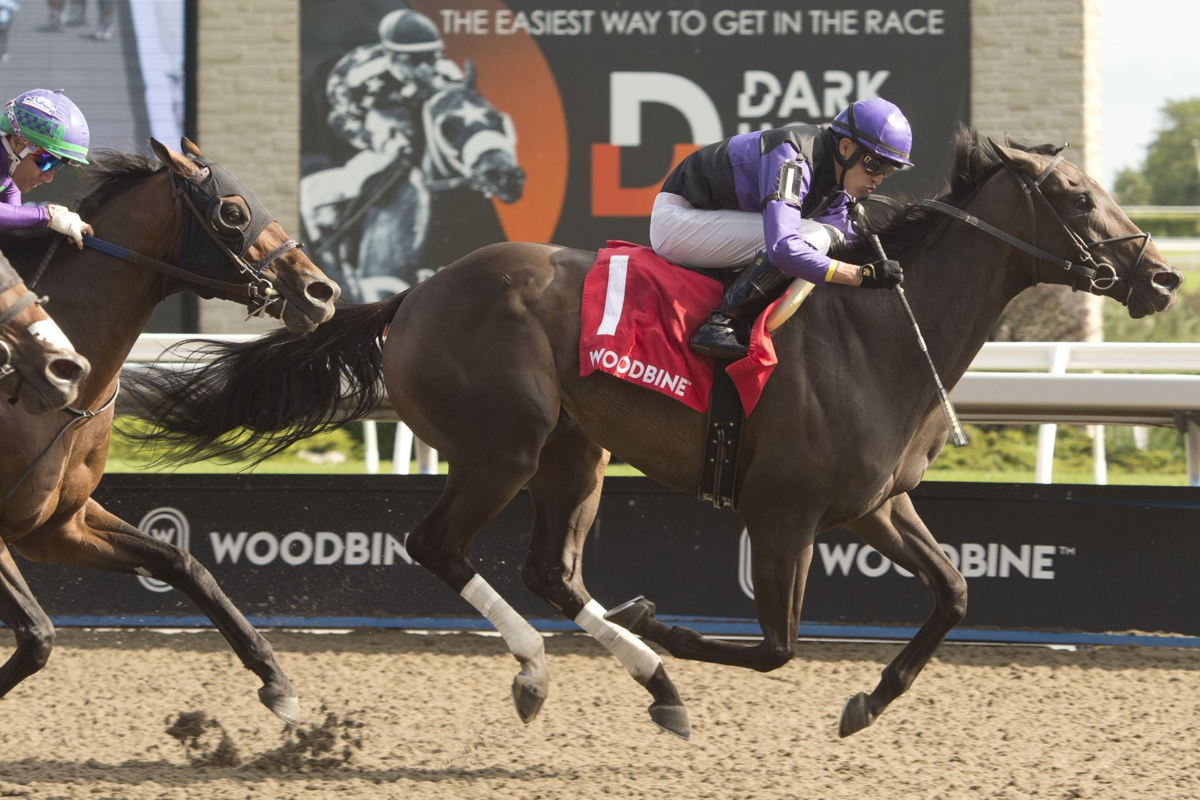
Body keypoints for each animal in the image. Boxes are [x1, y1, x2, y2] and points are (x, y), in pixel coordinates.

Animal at [129, 130, 1180, 738]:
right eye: (1078, 197)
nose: (1164, 277)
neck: (879, 330)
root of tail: (417, 295)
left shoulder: (875, 506)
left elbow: (956, 593)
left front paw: (868, 701)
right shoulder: (786, 513)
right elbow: (776, 647)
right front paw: (666, 623)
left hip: (574, 451)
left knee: (552, 570)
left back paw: (646, 679)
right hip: (503, 448)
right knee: (438, 544)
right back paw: (566, 666)